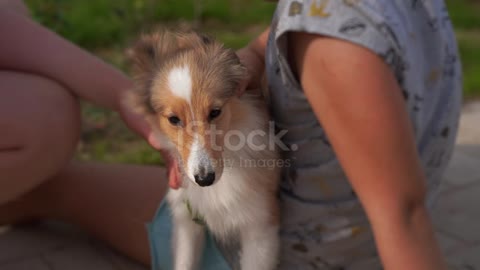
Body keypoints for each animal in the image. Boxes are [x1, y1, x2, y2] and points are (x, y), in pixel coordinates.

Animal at [126, 30, 282, 268]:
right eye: (173, 119)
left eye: (215, 112)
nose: (204, 179)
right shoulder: (186, 222)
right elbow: (184, 263)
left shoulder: (260, 227)